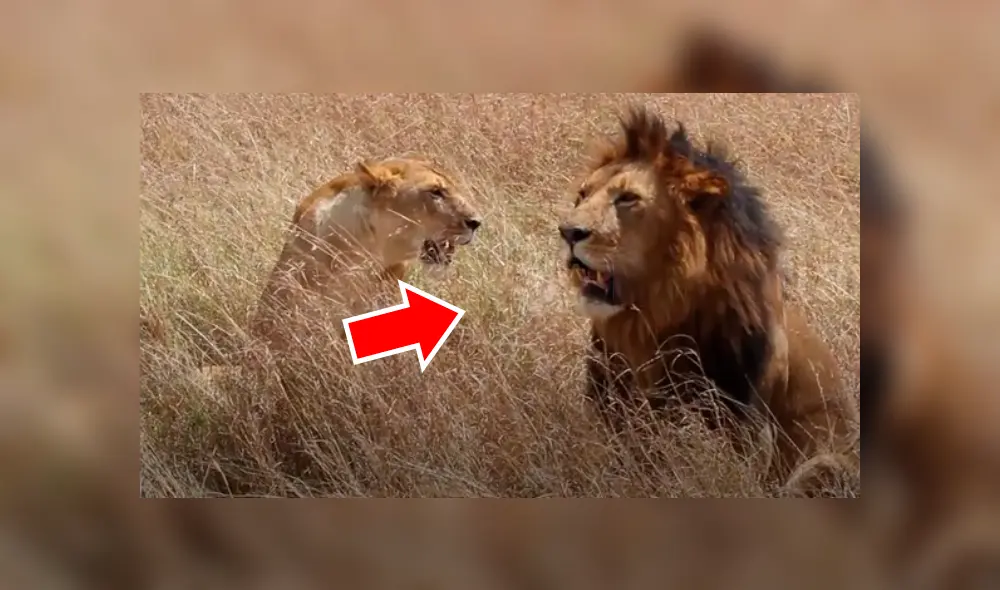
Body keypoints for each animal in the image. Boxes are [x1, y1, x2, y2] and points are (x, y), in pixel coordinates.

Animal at [557, 105, 859, 495]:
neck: (650, 320)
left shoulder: (743, 427)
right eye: (582, 195)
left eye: (627, 198)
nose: (567, 232)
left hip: (829, 462)